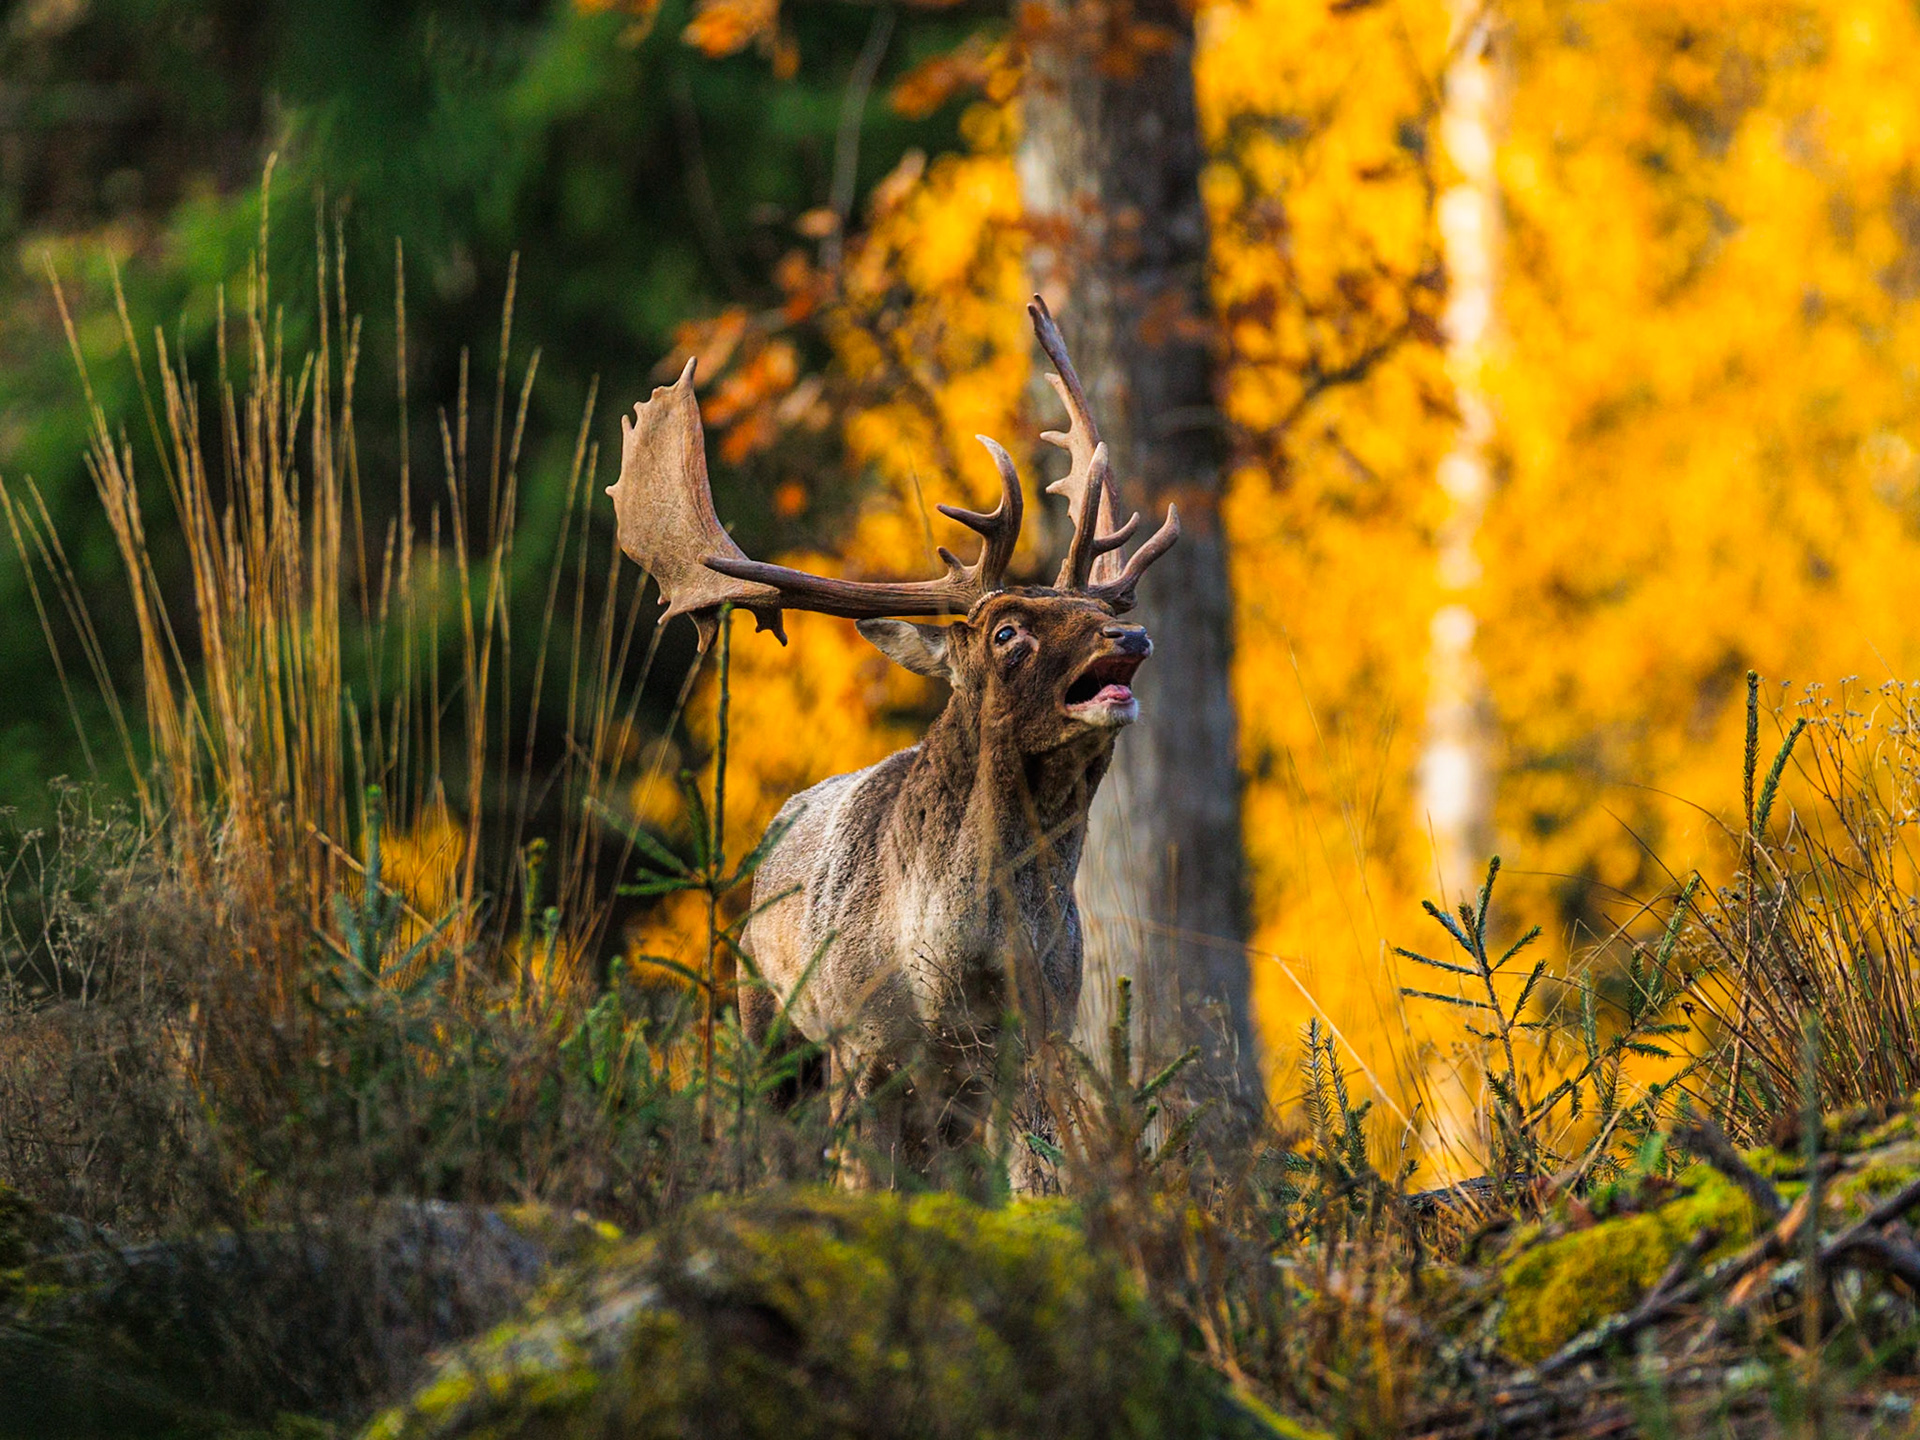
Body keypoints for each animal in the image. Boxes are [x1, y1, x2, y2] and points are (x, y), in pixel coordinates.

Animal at [605, 299, 1176, 1189]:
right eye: (1006, 631)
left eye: (1095, 606)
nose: (1131, 633)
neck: (953, 966)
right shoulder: (861, 1042)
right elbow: (861, 1179)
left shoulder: (1041, 1037)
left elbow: (1035, 1182)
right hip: (762, 1010)